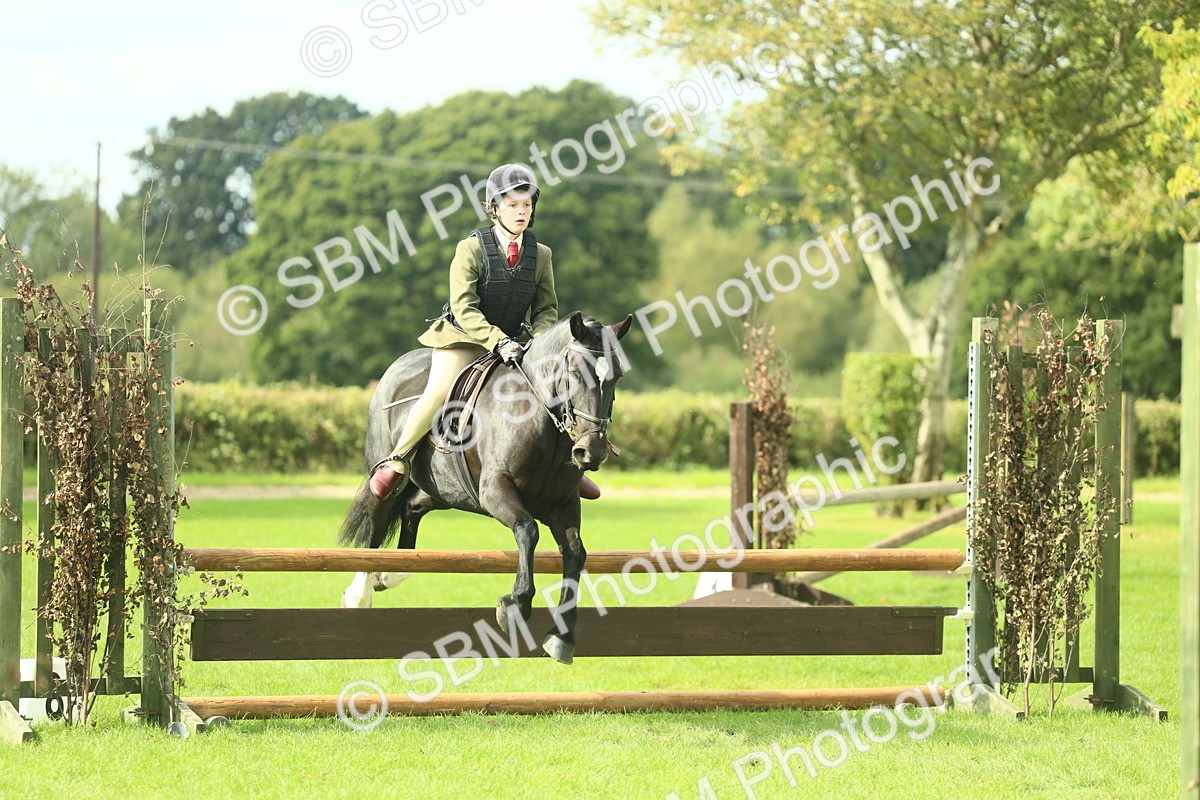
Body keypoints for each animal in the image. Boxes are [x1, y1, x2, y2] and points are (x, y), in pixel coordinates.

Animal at [337, 311, 632, 664]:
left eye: (616, 376)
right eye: (575, 372)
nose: (592, 452)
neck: (538, 418)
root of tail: (397, 366)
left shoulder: (563, 505)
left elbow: (575, 552)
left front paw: (561, 638)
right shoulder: (496, 491)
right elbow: (528, 530)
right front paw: (515, 605)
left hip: (444, 491)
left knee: (412, 508)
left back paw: (392, 573)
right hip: (386, 472)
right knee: (376, 522)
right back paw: (359, 593)